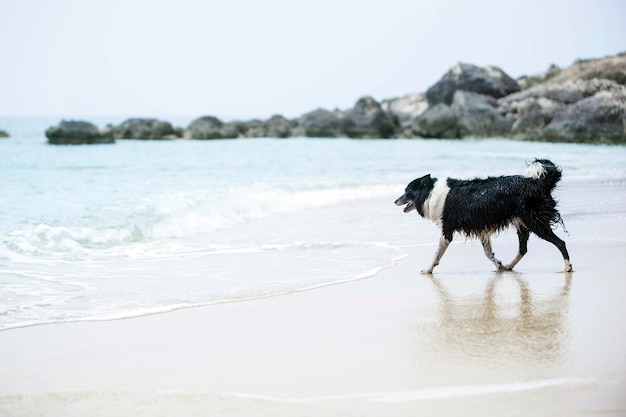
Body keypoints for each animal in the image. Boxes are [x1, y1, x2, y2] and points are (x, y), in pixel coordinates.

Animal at [394, 159, 572, 272]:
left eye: (407, 191)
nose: (395, 201)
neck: (430, 192)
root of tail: (538, 183)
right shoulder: (481, 229)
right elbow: (488, 253)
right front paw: (499, 265)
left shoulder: (447, 230)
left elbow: (436, 254)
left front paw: (428, 270)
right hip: (522, 223)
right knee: (523, 249)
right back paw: (508, 266)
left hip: (535, 222)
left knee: (561, 243)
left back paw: (568, 267)